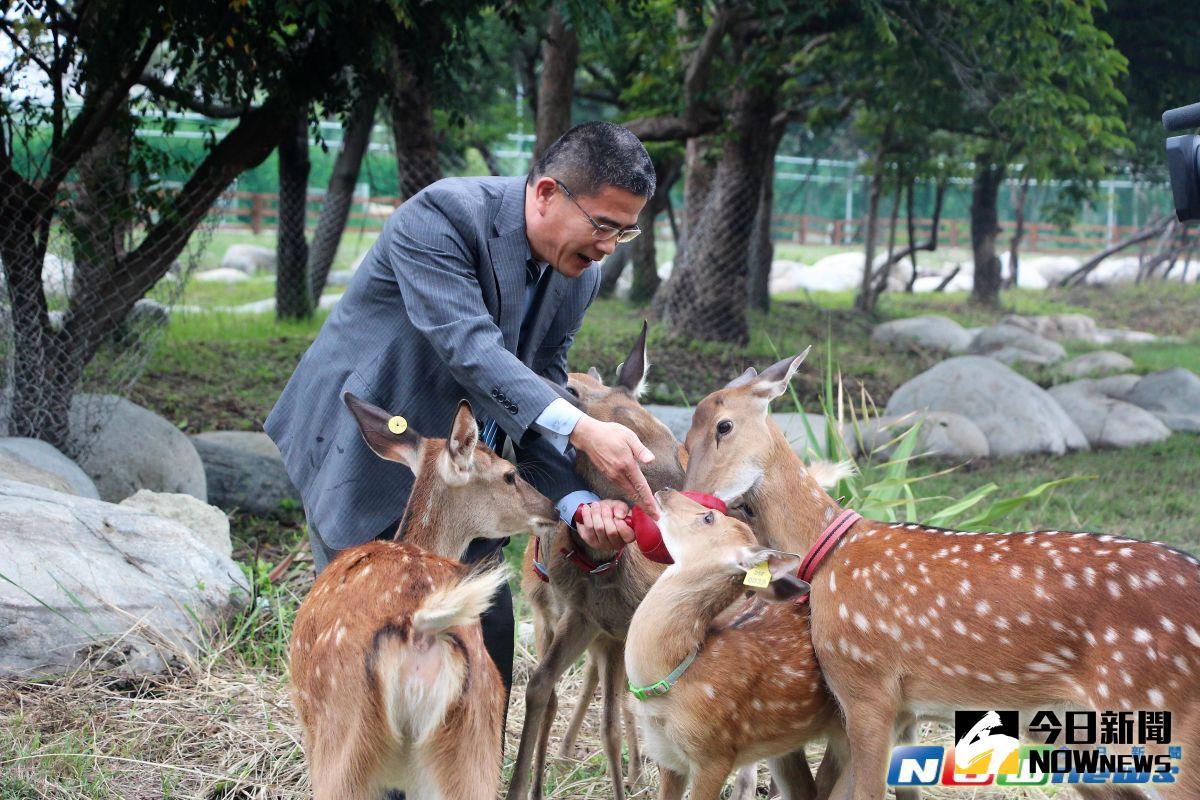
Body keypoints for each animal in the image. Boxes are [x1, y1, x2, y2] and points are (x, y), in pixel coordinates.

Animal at [681, 349, 1200, 800]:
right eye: (685, 440)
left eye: (724, 426)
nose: (688, 500)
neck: (827, 554)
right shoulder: (908, 708)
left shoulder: (867, 686)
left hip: (1160, 708)